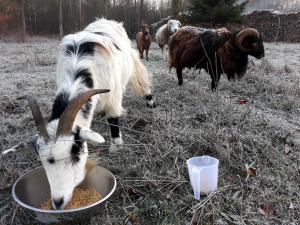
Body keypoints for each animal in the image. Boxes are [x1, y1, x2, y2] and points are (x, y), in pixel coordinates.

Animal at [2, 18, 155, 210]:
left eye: (75, 154)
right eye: (41, 161)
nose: (58, 202)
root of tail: (105, 20)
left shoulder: (113, 96)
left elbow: (113, 118)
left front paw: (116, 146)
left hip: (131, 61)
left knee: (141, 78)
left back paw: (150, 101)